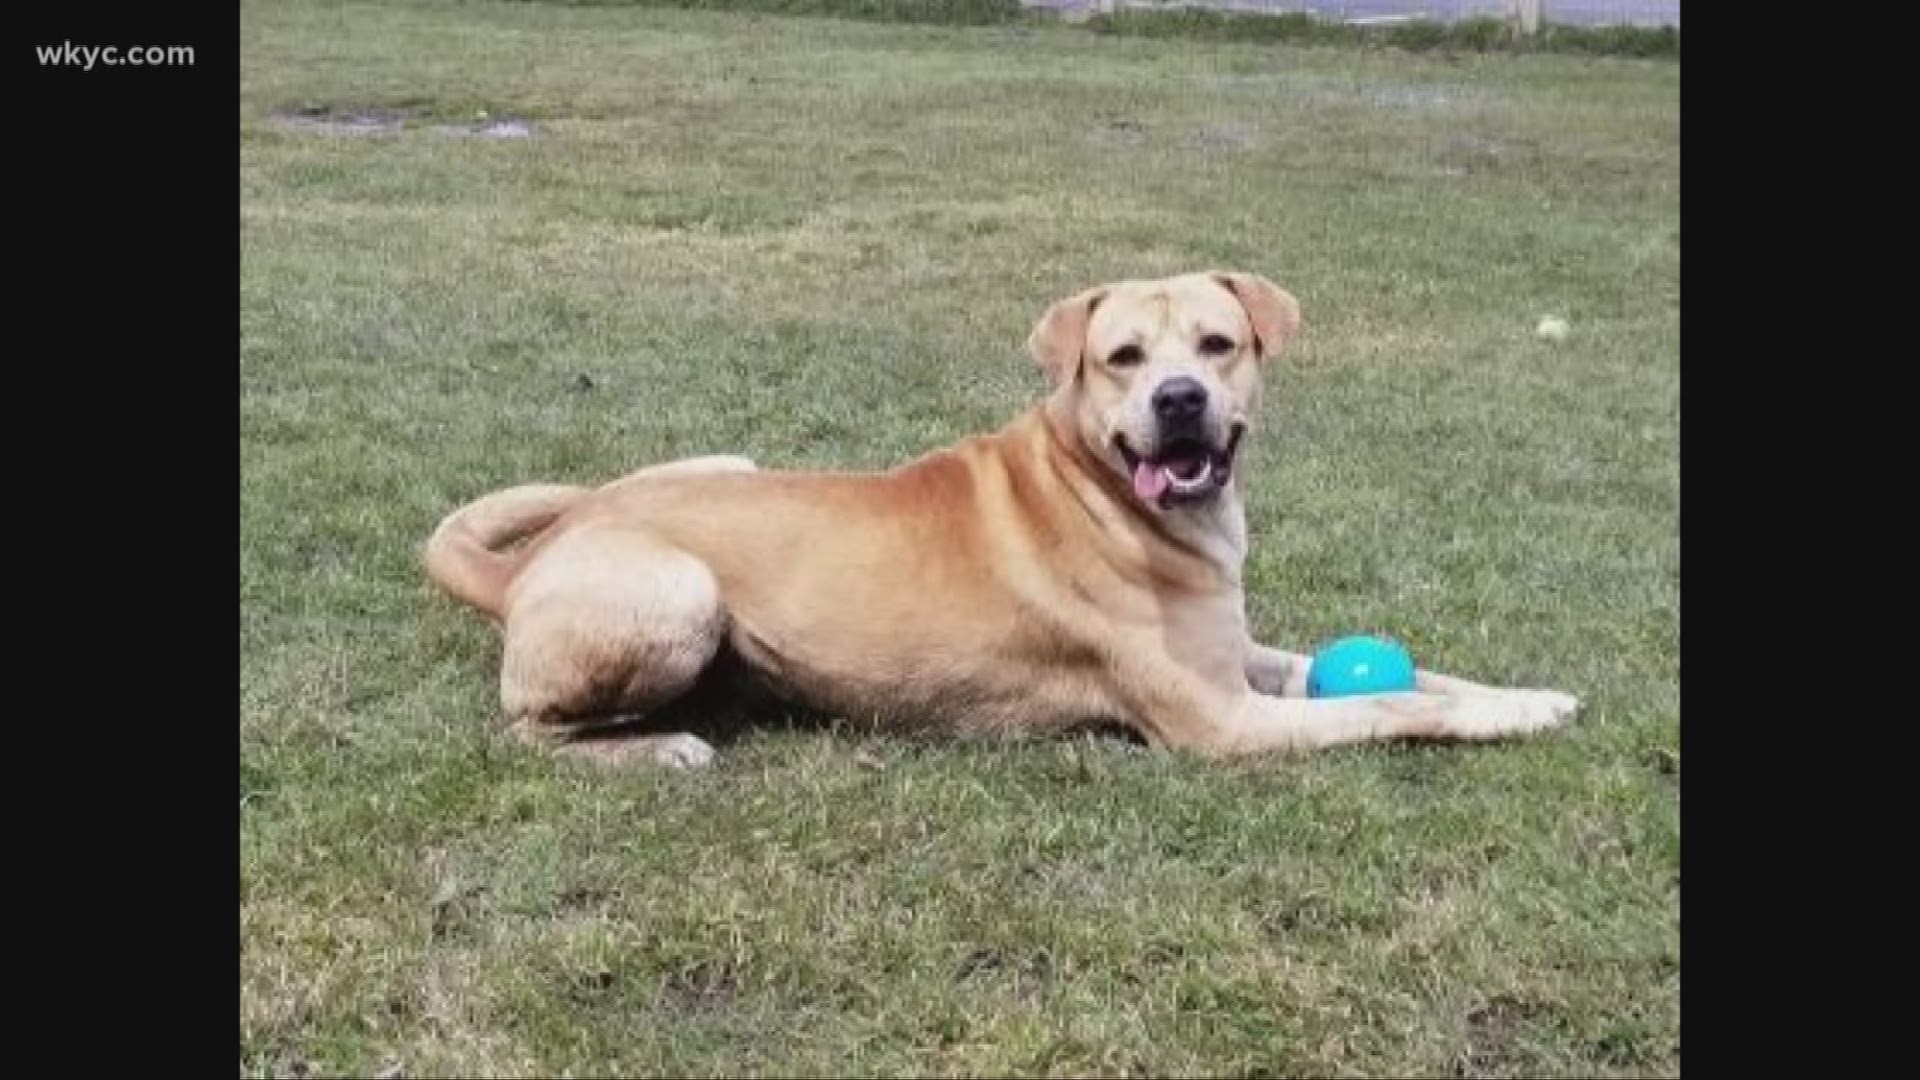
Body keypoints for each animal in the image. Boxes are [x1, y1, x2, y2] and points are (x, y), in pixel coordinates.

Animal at [428, 272, 1582, 768]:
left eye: (1218, 345)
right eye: (1123, 357)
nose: (1179, 401)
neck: (1094, 483)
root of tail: (528, 563)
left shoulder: (1240, 656)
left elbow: (1425, 674)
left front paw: (1530, 694)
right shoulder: (1218, 723)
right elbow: (1392, 704)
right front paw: (1495, 720)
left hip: (721, 462)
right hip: (680, 593)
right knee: (526, 732)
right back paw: (658, 746)